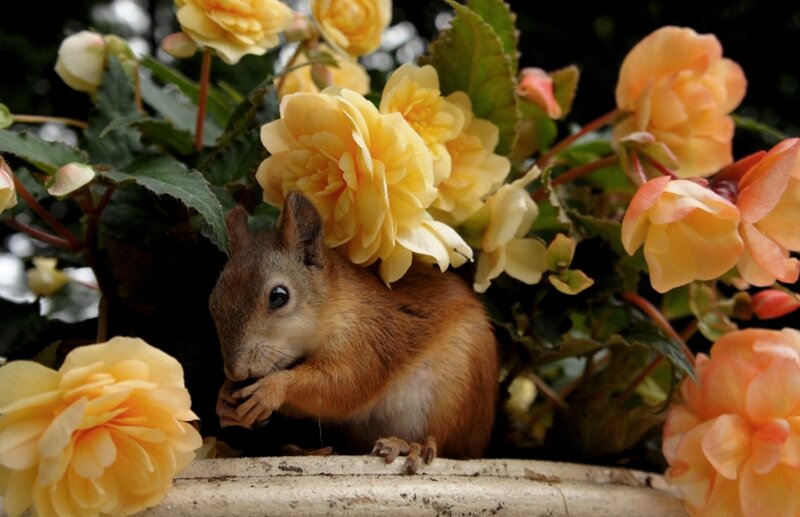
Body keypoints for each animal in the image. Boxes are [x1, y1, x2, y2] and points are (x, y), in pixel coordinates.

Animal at [208, 192, 499, 473]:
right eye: (213, 302)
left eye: (279, 296)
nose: (236, 372)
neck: (336, 307)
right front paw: (223, 399)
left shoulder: (367, 340)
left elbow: (343, 385)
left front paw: (271, 389)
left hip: (457, 391)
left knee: (446, 442)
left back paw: (409, 446)